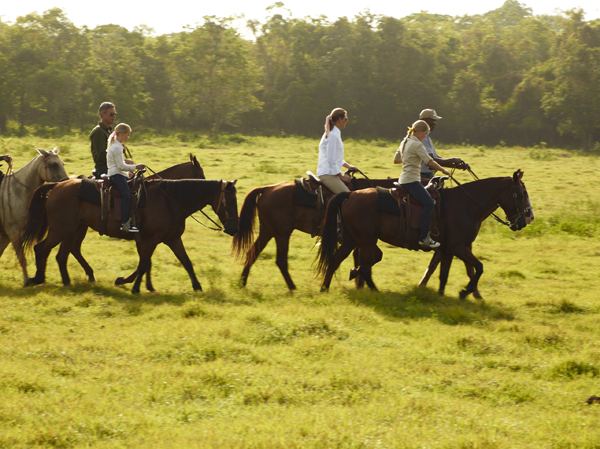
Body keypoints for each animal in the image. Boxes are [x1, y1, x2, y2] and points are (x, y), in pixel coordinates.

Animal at [0, 147, 68, 282]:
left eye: (62, 164)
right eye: (54, 164)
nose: (67, 182)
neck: (17, 191)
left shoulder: (6, 235)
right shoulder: (13, 231)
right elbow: (21, 257)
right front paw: (26, 281)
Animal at [17, 178, 237, 294]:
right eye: (229, 201)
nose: (233, 228)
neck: (169, 201)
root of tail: (55, 185)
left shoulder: (172, 239)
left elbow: (185, 261)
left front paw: (197, 286)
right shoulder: (149, 240)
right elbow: (144, 263)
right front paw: (133, 286)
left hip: (73, 230)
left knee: (62, 254)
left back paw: (67, 282)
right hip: (61, 230)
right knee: (41, 248)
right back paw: (38, 278)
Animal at [231, 173, 398, 288]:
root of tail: (267, 188)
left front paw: (358, 279)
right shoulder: (361, 239)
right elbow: (370, 257)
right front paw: (358, 279)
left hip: (267, 231)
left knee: (252, 253)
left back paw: (242, 283)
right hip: (282, 234)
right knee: (281, 261)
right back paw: (292, 287)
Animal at [318, 170, 536, 296]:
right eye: (521, 194)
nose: (525, 220)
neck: (466, 204)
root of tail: (349, 194)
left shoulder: (448, 249)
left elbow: (444, 274)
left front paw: (442, 295)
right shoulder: (458, 247)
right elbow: (479, 267)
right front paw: (465, 291)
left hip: (352, 240)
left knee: (338, 259)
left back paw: (326, 287)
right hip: (366, 241)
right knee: (363, 265)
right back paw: (371, 289)